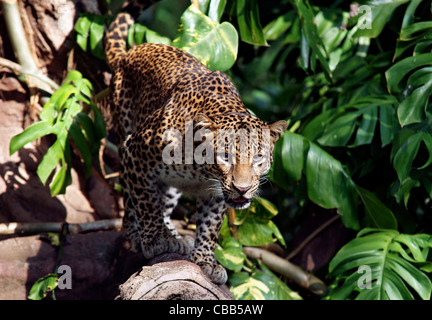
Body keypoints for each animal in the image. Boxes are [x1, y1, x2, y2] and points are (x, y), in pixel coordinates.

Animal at [104, 7, 286, 284]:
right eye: (225, 157)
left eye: (258, 158)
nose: (243, 189)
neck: (200, 172)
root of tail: (130, 52)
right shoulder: (134, 151)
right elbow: (146, 201)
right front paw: (156, 239)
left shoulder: (217, 192)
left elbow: (210, 225)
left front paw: (206, 260)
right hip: (124, 134)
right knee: (131, 197)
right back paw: (140, 233)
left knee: (164, 202)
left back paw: (175, 235)